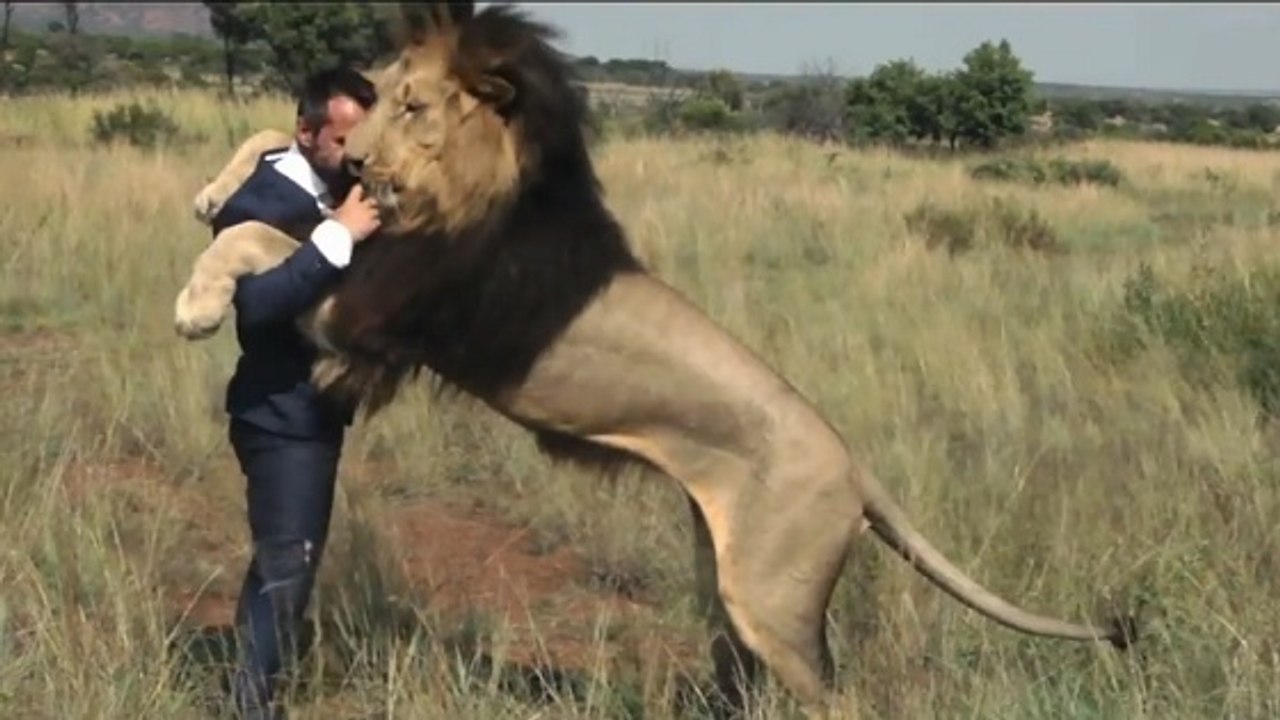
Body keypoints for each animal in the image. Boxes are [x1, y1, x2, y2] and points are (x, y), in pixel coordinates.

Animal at [173, 3, 1137, 715]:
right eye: (375, 100)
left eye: (412, 106)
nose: (358, 155)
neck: (468, 186)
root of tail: (857, 470)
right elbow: (269, 175)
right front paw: (216, 190)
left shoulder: (366, 308)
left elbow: (266, 240)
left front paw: (196, 304)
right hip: (731, 591)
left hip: (777, 607)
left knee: (834, 701)